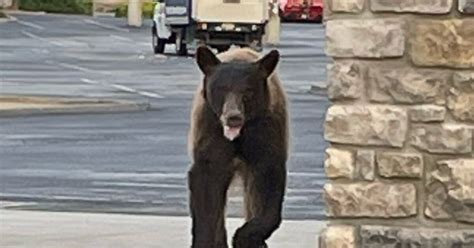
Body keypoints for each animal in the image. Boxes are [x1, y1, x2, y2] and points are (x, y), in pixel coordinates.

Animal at [189, 46, 288, 248]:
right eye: (222, 88)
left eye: (248, 91)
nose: (233, 117)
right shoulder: (210, 131)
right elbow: (206, 188)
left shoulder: (266, 132)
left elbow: (269, 180)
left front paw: (245, 237)